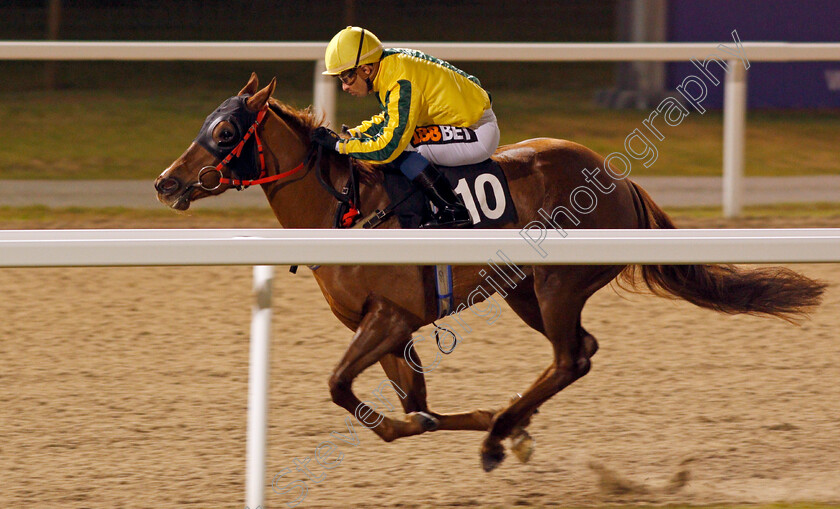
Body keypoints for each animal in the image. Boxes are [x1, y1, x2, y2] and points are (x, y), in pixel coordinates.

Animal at [154, 73, 824, 470]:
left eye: (224, 131)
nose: (165, 183)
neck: (346, 210)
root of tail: (619, 179)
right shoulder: (389, 327)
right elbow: (415, 403)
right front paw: (458, 420)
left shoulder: (391, 316)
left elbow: (342, 387)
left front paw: (475, 425)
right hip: (523, 291)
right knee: (581, 351)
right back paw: (507, 425)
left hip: (557, 285)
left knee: (570, 357)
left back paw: (499, 433)